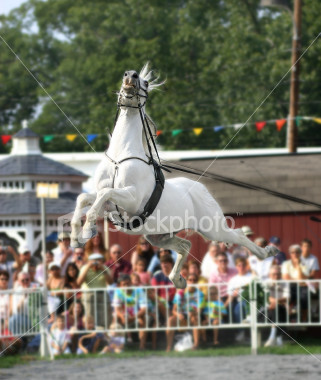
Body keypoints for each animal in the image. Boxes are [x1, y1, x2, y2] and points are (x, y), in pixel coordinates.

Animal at [70, 63, 278, 288]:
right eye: (124, 75)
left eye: (145, 82)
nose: (130, 77)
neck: (121, 156)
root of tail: (201, 189)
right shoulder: (109, 205)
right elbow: (86, 197)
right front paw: (75, 238)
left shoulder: (132, 198)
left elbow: (104, 194)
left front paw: (87, 231)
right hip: (158, 236)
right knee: (185, 245)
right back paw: (178, 280)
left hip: (213, 228)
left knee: (238, 236)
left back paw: (267, 251)